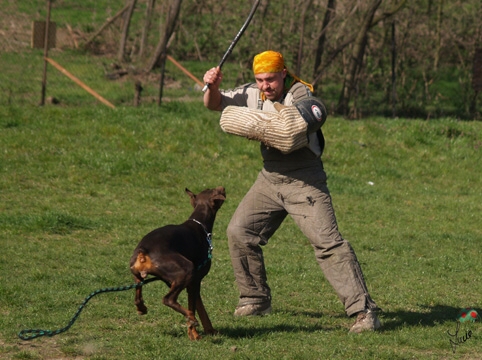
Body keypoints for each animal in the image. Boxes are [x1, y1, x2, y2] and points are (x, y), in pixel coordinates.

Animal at [129, 187, 225, 338]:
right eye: (217, 190)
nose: (223, 187)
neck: (200, 223)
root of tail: (143, 251)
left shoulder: (190, 284)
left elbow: (200, 307)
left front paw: (209, 330)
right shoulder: (195, 280)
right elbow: (195, 306)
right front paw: (194, 334)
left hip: (137, 274)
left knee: (138, 296)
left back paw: (141, 308)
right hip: (187, 270)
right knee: (168, 300)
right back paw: (191, 318)